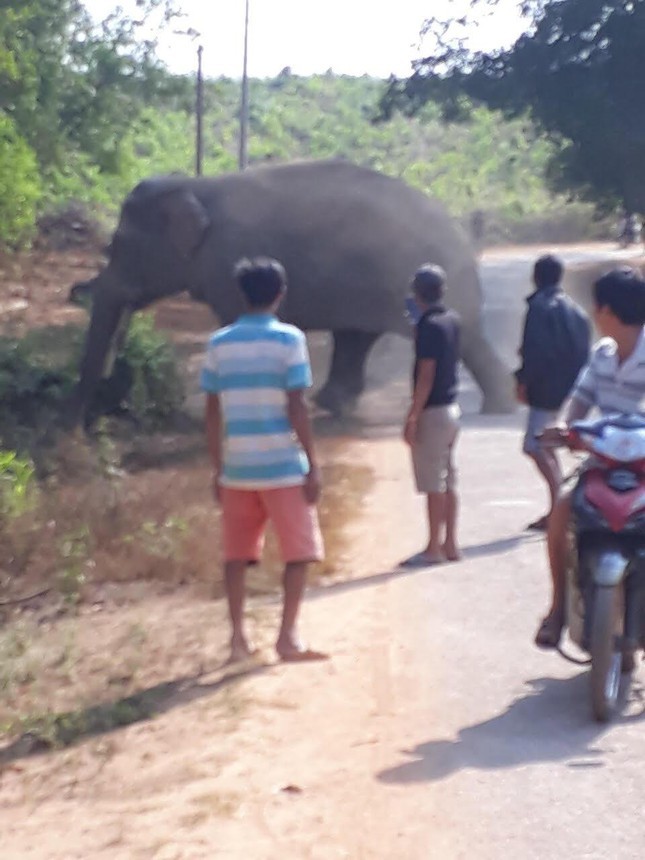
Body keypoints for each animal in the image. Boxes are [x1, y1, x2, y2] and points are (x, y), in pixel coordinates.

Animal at [70, 160, 512, 422]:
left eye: (118, 245)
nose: (84, 424)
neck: (197, 185)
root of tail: (459, 234)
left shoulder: (231, 266)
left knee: (466, 339)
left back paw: (497, 410)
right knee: (354, 339)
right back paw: (330, 407)